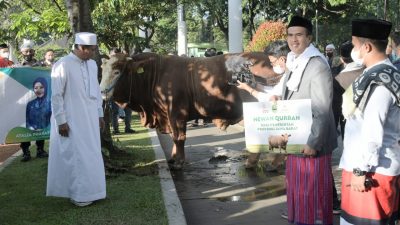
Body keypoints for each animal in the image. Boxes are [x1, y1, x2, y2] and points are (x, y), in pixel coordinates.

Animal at [100, 52, 276, 169]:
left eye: (117, 70)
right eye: (102, 69)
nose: (101, 91)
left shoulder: (176, 113)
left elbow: (179, 137)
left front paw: (179, 161)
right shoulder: (167, 114)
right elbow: (174, 137)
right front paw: (173, 157)